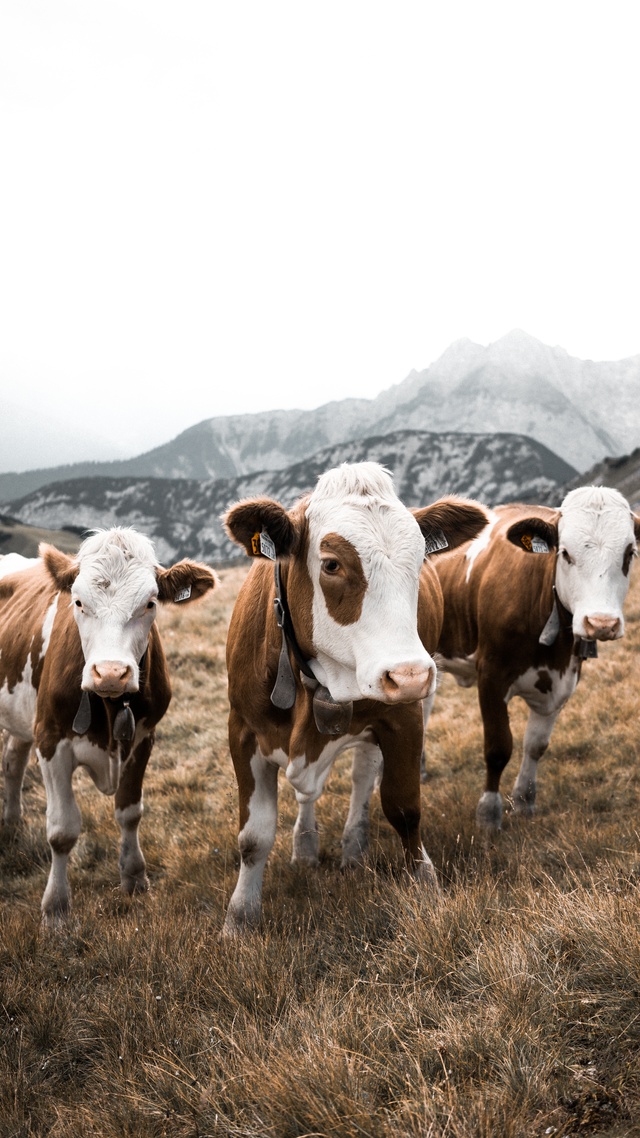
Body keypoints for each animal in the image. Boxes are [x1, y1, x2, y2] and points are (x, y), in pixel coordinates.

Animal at [0, 528, 216, 919]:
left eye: (150, 603)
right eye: (78, 602)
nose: (111, 672)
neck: (109, 704)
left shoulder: (143, 738)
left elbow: (129, 811)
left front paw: (134, 878)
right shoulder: (50, 739)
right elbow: (62, 830)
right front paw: (55, 907)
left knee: (12, 760)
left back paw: (11, 823)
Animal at [218, 462, 482, 933]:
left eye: (421, 559)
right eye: (331, 564)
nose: (410, 675)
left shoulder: (404, 717)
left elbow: (404, 808)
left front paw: (426, 885)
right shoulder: (243, 730)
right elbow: (253, 836)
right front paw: (240, 916)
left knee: (363, 775)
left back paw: (354, 845)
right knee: (309, 795)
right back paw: (306, 846)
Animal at [428, 484, 637, 833]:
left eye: (629, 553)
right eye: (565, 553)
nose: (601, 623)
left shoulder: (563, 680)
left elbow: (536, 746)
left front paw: (524, 800)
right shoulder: (491, 675)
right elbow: (498, 747)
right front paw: (489, 814)